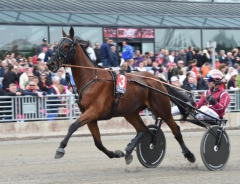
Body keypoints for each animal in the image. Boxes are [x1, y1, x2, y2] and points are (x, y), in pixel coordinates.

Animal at [46, 27, 195, 165]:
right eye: (56, 45)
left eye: (66, 46)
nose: (50, 63)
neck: (91, 78)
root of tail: (156, 79)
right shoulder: (90, 116)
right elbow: (98, 142)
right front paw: (116, 153)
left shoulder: (93, 111)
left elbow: (73, 126)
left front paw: (60, 149)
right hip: (130, 112)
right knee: (144, 130)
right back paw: (129, 151)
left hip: (162, 109)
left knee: (175, 130)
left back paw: (189, 154)